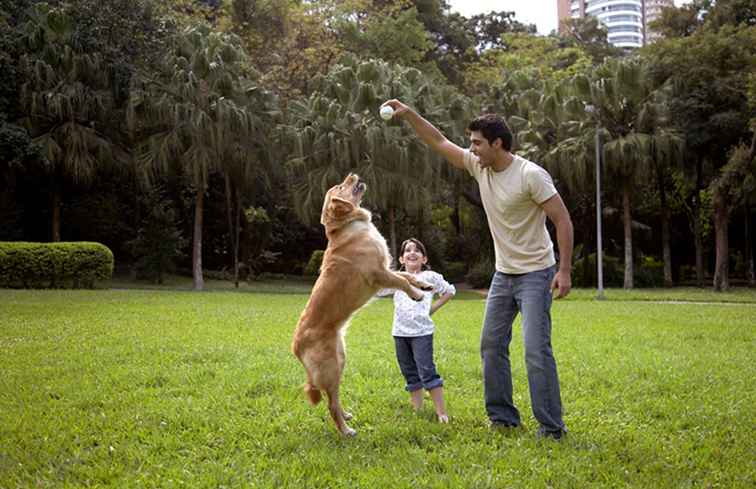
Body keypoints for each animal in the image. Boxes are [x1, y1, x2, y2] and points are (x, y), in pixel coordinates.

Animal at [290, 174, 432, 434]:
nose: (352, 174)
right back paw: (346, 431)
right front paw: (416, 295)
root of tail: (295, 346)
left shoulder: (386, 270)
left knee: (333, 398)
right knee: (330, 404)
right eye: (340, 186)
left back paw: (346, 416)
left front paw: (423, 285)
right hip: (330, 367)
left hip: (340, 360)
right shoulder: (378, 273)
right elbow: (401, 280)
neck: (349, 226)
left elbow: (406, 275)